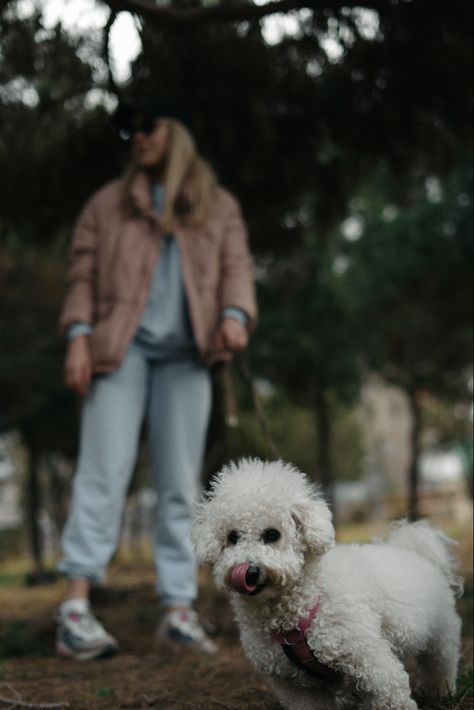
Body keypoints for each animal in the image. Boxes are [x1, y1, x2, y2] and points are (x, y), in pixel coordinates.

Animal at [193, 458, 462, 708]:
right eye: (233, 537)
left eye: (272, 534)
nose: (249, 572)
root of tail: (414, 549)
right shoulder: (294, 687)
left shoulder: (370, 659)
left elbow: (391, 693)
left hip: (440, 636)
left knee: (440, 664)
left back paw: (441, 692)